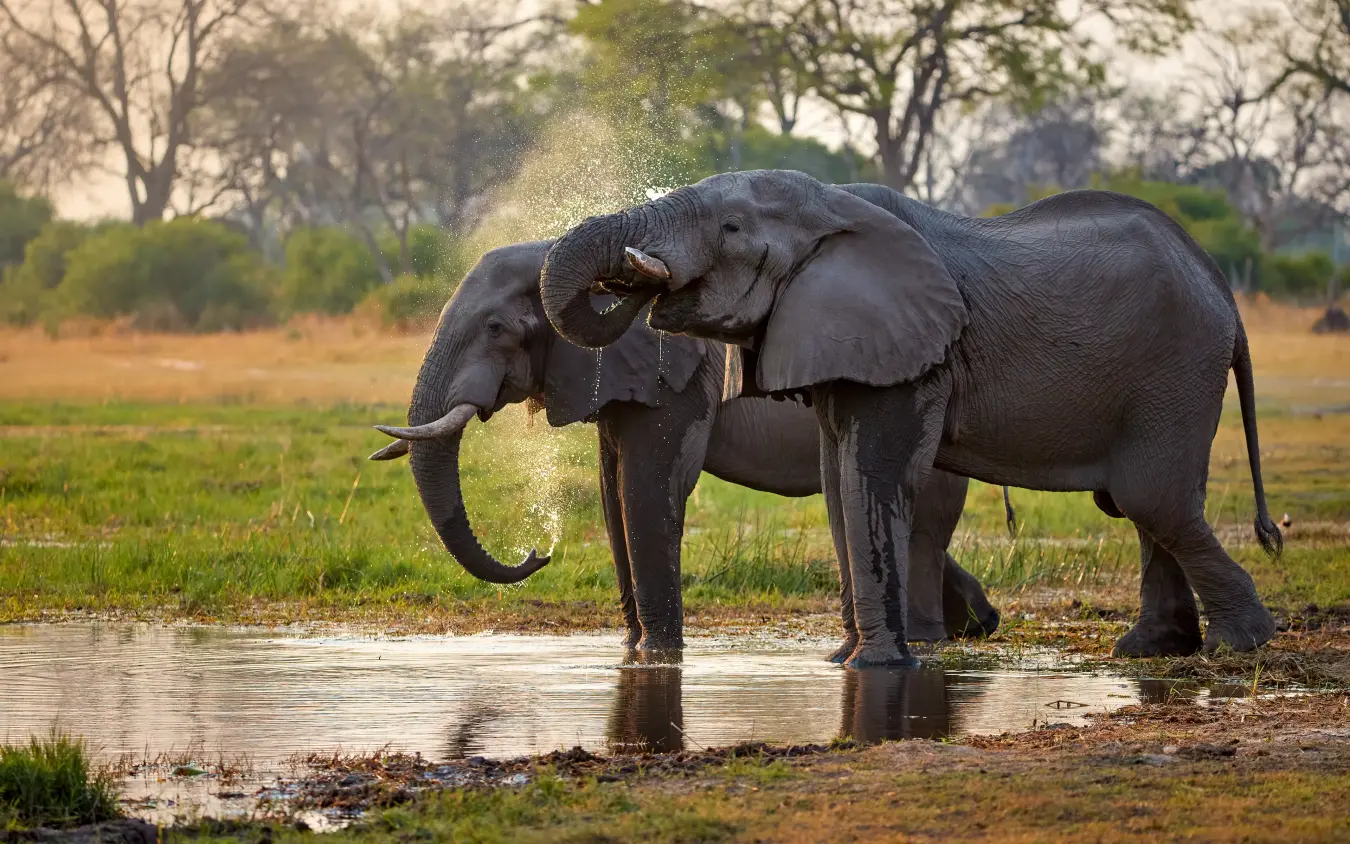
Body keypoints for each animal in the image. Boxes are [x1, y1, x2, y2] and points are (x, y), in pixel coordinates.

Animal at [371, 239, 1001, 654]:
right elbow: (613, 496)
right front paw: (632, 649)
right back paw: (978, 624)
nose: (537, 553)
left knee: (918, 522)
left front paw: (658, 656)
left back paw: (930, 639)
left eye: (496, 329)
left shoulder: (676, 374)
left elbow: (649, 492)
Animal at [536, 170, 1283, 667]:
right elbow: (837, 487)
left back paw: (1238, 646)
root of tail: (1222, 287)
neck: (833, 204)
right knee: (1149, 508)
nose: (636, 275)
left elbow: (870, 477)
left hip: (1175, 370)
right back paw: (1150, 650)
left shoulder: (908, 353)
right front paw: (843, 661)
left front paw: (874, 669)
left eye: (730, 229)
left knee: (1152, 499)